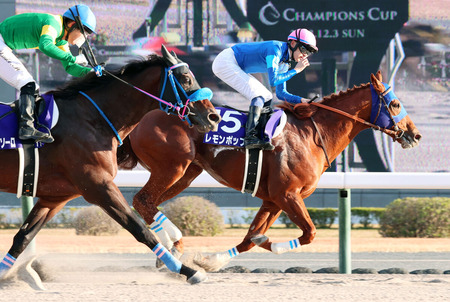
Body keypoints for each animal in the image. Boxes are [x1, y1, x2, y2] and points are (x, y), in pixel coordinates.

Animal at [0, 44, 220, 284]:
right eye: (186, 78)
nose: (213, 117)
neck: (93, 118)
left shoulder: (55, 198)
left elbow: (23, 237)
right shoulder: (100, 187)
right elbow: (140, 230)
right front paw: (189, 270)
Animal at [117, 71, 422, 272]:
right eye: (395, 103)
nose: (415, 134)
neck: (312, 135)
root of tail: (144, 116)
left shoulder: (272, 199)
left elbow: (248, 239)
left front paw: (211, 261)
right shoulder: (287, 194)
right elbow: (308, 233)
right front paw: (268, 243)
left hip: (186, 173)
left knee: (149, 203)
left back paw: (168, 251)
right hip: (172, 166)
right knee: (143, 200)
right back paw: (174, 244)